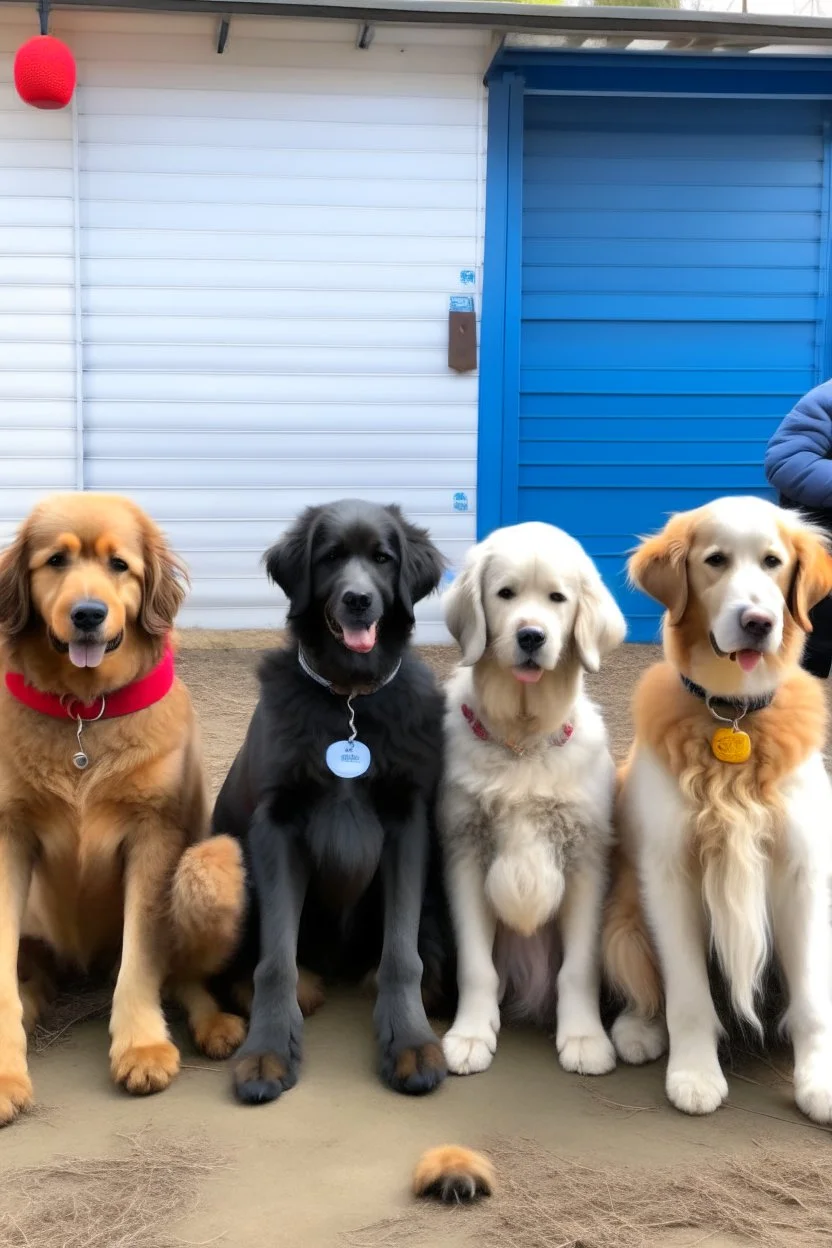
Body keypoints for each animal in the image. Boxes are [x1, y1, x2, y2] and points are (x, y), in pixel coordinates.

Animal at [0, 491, 245, 1128]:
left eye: (120, 566)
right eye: (55, 561)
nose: (87, 614)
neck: (85, 711)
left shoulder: (153, 834)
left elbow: (143, 957)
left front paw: (142, 1046)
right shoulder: (8, 836)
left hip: (210, 867)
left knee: (183, 977)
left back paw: (213, 1023)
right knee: (31, 979)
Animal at [212, 496, 451, 1103]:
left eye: (383, 558)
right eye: (330, 557)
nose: (358, 600)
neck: (349, 702)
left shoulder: (407, 823)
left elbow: (402, 955)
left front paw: (410, 1041)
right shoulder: (275, 828)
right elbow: (275, 962)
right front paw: (268, 1050)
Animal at [441, 521, 623, 1078]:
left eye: (557, 599)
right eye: (506, 594)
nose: (531, 636)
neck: (522, 739)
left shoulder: (586, 858)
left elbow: (579, 968)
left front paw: (585, 1037)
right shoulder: (464, 850)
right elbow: (474, 965)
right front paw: (470, 1034)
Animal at [601, 494, 832, 1123]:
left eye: (774, 561)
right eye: (715, 561)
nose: (758, 621)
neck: (734, 714)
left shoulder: (802, 872)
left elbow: (813, 1000)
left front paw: (821, 1081)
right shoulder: (669, 872)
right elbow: (686, 995)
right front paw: (694, 1074)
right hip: (624, 917)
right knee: (646, 987)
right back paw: (638, 1029)